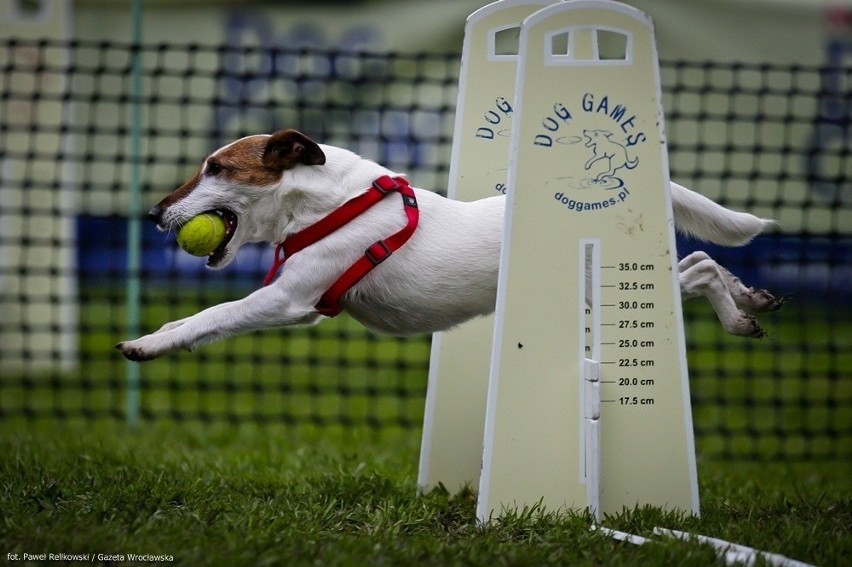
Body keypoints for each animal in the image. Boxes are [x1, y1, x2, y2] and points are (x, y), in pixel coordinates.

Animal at [116, 129, 784, 362]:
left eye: (216, 167)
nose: (152, 214)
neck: (327, 204)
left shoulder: (289, 301)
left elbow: (211, 315)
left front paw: (148, 343)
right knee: (701, 260)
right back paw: (749, 302)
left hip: (601, 290)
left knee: (698, 270)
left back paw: (739, 311)